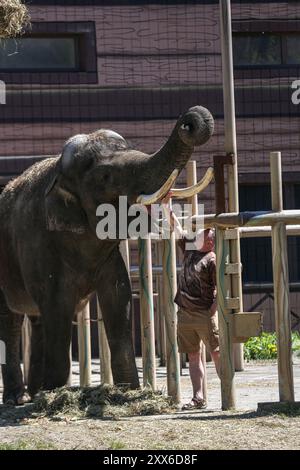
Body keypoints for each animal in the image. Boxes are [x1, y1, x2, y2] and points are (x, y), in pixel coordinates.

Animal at [0, 105, 213, 404]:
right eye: (105, 177)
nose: (187, 124)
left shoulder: (109, 259)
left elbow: (118, 299)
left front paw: (128, 392)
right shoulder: (42, 246)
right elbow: (58, 308)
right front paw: (56, 398)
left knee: (37, 319)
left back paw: (35, 393)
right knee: (11, 321)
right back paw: (19, 398)